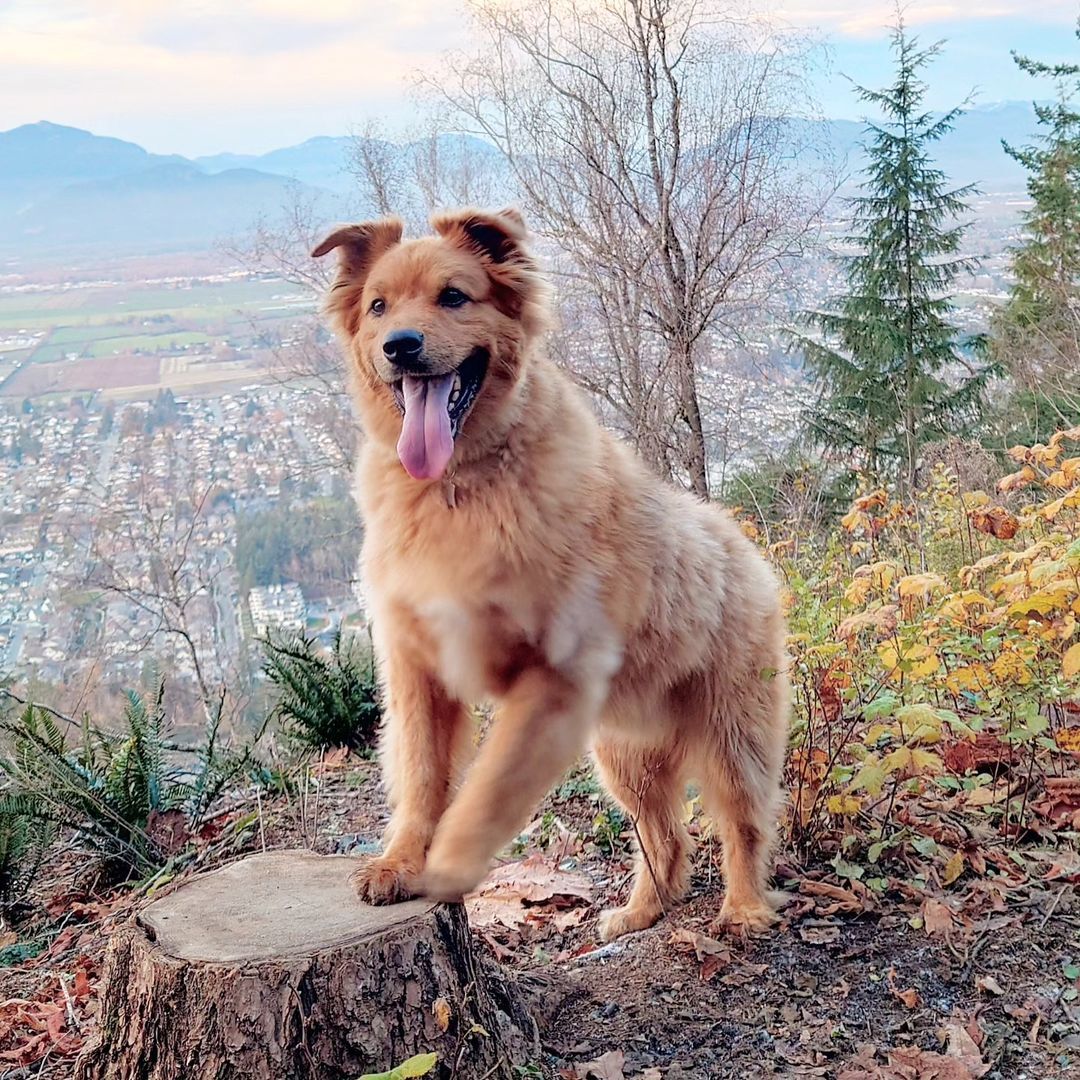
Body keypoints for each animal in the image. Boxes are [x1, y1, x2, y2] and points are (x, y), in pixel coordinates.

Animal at [308, 208, 790, 937]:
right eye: (378, 306)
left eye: (454, 296)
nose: (400, 345)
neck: (460, 486)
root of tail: (739, 540)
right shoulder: (417, 668)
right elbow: (420, 773)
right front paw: (399, 862)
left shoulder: (551, 677)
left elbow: (489, 785)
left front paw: (450, 862)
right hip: (625, 753)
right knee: (666, 835)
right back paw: (640, 912)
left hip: (733, 730)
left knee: (743, 821)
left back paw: (742, 908)